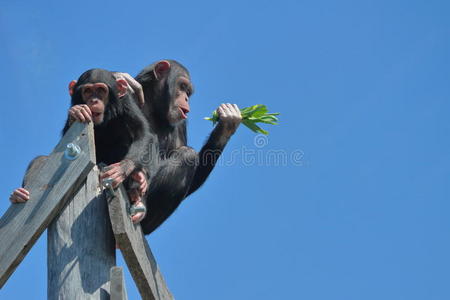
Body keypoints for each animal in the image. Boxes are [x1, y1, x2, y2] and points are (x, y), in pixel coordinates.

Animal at [10, 68, 158, 223]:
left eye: (101, 90)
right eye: (87, 91)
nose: (94, 100)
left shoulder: (126, 102)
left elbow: (143, 133)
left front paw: (122, 168)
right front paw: (77, 112)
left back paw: (139, 185)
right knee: (41, 159)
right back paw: (19, 195)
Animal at [134, 60, 243, 234]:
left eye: (188, 92)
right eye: (182, 86)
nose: (186, 98)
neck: (154, 106)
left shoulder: (181, 124)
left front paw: (226, 125)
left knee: (187, 155)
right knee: (187, 155)